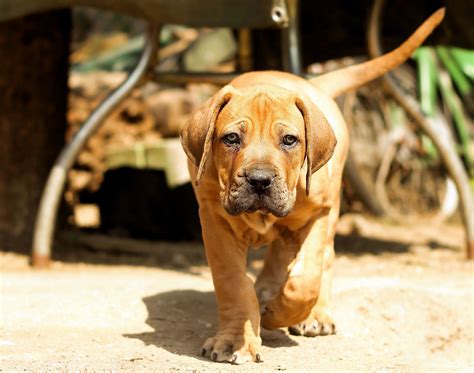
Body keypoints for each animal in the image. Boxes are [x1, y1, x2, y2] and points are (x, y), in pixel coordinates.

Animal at [181, 9, 444, 364]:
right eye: (231, 138)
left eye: (289, 140)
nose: (259, 180)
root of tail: (314, 83)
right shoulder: (215, 220)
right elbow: (234, 284)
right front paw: (235, 340)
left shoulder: (318, 214)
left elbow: (305, 279)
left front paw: (278, 312)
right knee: (277, 256)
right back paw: (267, 291)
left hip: (330, 211)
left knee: (323, 260)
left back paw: (312, 315)